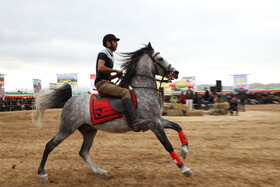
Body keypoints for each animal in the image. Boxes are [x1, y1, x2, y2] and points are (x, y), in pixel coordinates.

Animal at [32, 42, 194, 183]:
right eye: (160, 58)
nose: (176, 72)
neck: (143, 90)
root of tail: (71, 99)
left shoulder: (158, 120)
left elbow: (178, 126)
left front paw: (184, 151)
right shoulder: (154, 124)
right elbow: (168, 145)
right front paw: (185, 169)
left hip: (89, 130)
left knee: (83, 152)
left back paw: (101, 172)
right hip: (67, 128)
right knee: (50, 145)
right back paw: (42, 173)